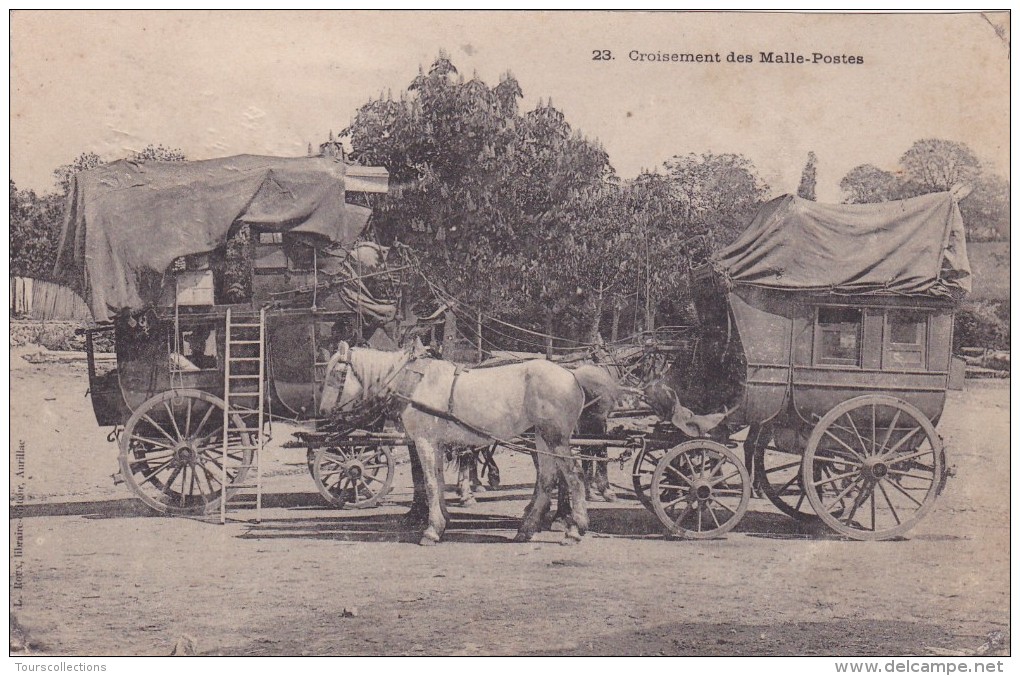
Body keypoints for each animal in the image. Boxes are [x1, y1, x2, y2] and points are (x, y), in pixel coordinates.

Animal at [318, 344, 612, 546]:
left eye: (337, 374)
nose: (322, 413)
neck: (414, 383)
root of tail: (572, 374)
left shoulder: (424, 442)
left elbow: (430, 483)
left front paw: (431, 530)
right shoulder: (435, 444)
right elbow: (436, 480)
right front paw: (443, 522)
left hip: (556, 438)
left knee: (574, 477)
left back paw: (575, 530)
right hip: (541, 437)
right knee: (547, 479)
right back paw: (526, 529)